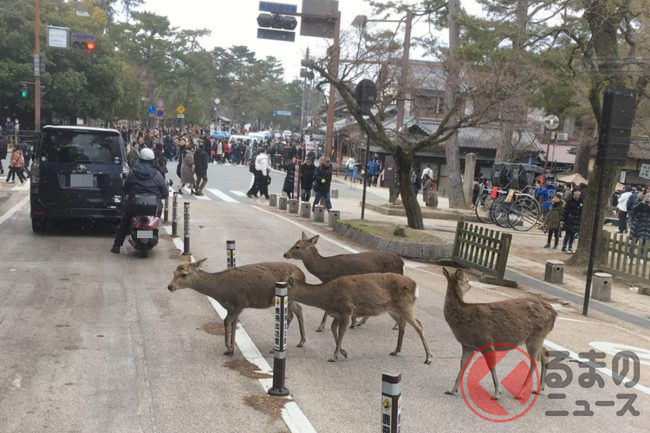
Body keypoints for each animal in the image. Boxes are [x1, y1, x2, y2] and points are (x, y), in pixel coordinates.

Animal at [168, 260, 308, 354]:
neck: (220, 292)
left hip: (289, 294)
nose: (170, 286)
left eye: (184, 274)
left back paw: (277, 347)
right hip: (290, 298)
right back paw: (301, 341)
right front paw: (231, 349)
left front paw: (229, 348)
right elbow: (234, 323)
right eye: (173, 273)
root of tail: (303, 275)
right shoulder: (232, 307)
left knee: (294, 312)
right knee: (297, 310)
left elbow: (226, 321)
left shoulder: (240, 302)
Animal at [284, 272, 430, 362]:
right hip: (393, 309)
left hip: (406, 305)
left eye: (283, 286)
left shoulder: (347, 310)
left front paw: (334, 356)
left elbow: (341, 332)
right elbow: (333, 329)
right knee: (403, 323)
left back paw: (428, 357)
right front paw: (343, 352)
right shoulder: (337, 314)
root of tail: (415, 285)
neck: (326, 299)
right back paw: (396, 351)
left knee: (419, 325)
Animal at [440, 268, 556, 400]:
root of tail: (554, 313)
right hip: (537, 336)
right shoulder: (467, 345)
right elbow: (463, 364)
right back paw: (539, 389)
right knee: (545, 352)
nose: (470, 284)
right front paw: (451, 389)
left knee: (535, 360)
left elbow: (491, 365)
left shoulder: (485, 339)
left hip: (536, 335)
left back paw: (520, 393)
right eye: (467, 280)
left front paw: (497, 393)